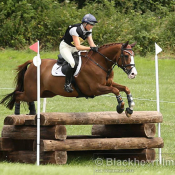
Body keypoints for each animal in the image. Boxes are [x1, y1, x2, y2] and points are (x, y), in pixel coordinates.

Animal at [0, 41, 137, 117]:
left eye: (133, 55)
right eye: (126, 55)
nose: (133, 74)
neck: (99, 62)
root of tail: (32, 64)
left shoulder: (108, 83)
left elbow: (125, 88)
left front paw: (130, 108)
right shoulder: (96, 88)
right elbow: (116, 90)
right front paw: (121, 107)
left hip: (45, 93)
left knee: (26, 98)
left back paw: (32, 113)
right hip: (32, 92)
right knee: (18, 95)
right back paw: (17, 115)